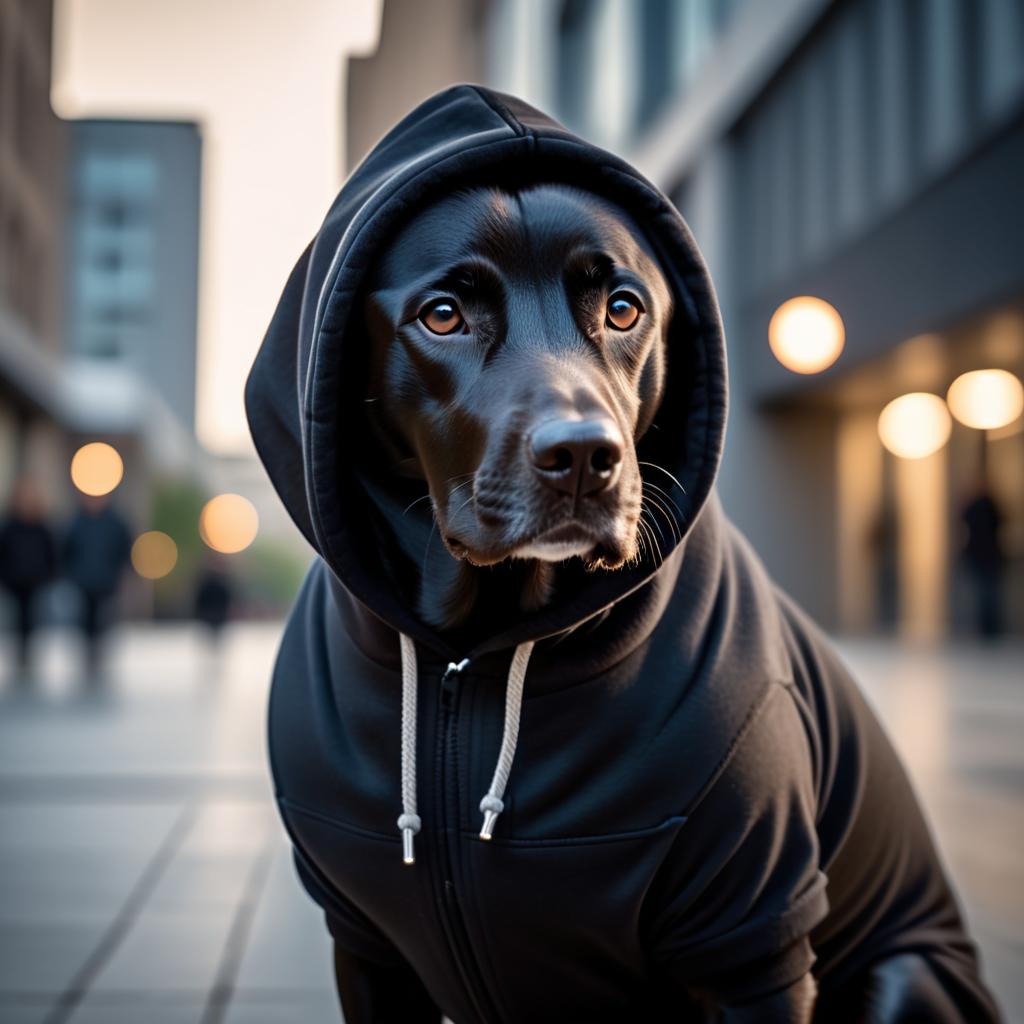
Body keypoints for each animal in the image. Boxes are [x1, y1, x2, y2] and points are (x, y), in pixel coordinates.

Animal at [243, 88, 995, 1024]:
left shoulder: (754, 936)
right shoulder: (363, 942)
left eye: (624, 309)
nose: (584, 457)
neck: (471, 659)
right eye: (443, 314)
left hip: (909, 976)